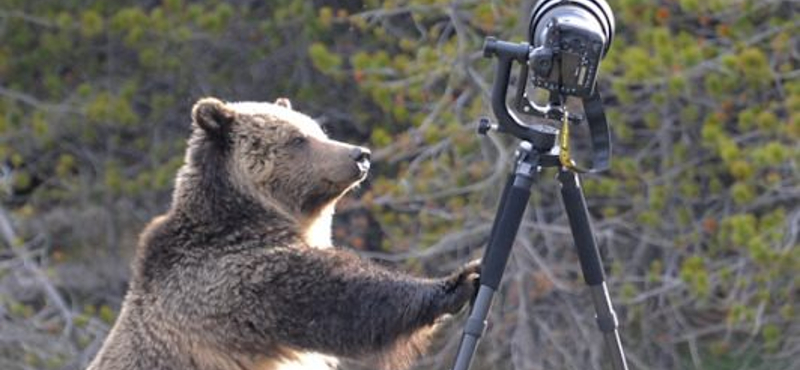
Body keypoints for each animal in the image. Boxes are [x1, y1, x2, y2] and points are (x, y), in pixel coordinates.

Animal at [86, 97, 482, 370]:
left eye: (319, 130)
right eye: (298, 139)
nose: (361, 155)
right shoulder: (229, 281)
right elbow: (339, 298)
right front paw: (459, 280)